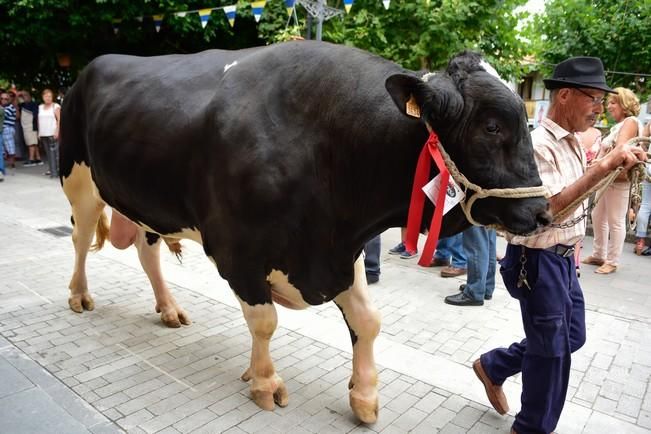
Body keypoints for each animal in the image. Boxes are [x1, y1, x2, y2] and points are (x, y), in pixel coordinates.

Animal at [59, 41, 552, 424]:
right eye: (492, 126)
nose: (542, 212)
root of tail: (93, 65)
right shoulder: (239, 251)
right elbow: (264, 322)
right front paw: (264, 382)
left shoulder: (340, 251)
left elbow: (368, 321)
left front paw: (364, 396)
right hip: (78, 179)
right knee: (80, 240)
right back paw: (79, 296)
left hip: (147, 200)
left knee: (147, 252)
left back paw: (169, 308)